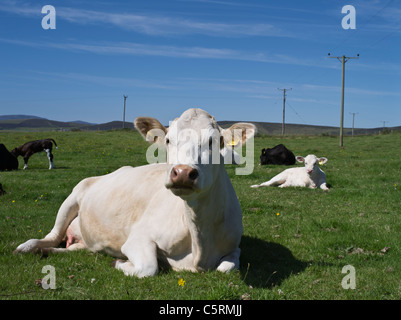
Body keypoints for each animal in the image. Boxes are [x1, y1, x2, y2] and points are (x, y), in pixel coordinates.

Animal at [14, 108, 256, 278]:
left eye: (215, 140)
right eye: (168, 140)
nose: (183, 173)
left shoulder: (235, 246)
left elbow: (226, 267)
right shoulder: (138, 238)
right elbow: (148, 267)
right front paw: (119, 262)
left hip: (84, 239)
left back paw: (49, 252)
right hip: (72, 197)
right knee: (51, 236)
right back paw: (27, 247)